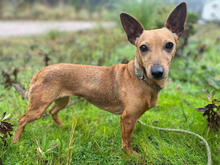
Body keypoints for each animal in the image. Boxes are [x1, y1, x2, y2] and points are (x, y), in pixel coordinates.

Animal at [12, 2, 186, 155]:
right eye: (143, 47)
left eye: (169, 45)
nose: (157, 72)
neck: (141, 78)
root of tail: (41, 71)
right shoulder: (128, 118)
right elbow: (126, 141)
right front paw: (130, 154)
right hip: (38, 108)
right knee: (22, 119)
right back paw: (15, 141)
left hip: (62, 100)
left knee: (53, 111)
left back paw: (63, 127)